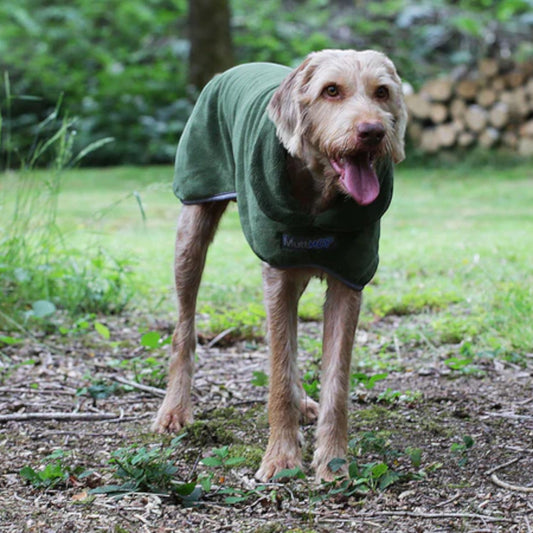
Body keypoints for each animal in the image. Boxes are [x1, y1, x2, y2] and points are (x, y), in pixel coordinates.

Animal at [154, 51, 408, 482]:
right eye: (331, 90)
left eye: (382, 92)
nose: (373, 132)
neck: (321, 195)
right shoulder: (277, 275)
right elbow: (277, 368)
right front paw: (280, 458)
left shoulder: (349, 280)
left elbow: (335, 381)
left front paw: (334, 463)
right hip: (192, 227)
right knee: (183, 328)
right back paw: (174, 409)